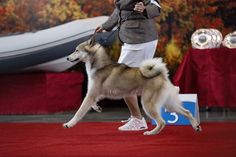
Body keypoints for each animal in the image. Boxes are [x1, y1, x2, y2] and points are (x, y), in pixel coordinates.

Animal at [63, 39, 201, 135]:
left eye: (76, 50)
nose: (67, 58)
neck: (100, 66)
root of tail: (161, 74)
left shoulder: (92, 94)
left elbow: (79, 112)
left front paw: (69, 124)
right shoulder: (95, 94)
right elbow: (92, 104)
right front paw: (97, 108)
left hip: (148, 104)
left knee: (162, 122)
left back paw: (151, 133)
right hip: (169, 104)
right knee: (187, 112)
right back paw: (196, 126)